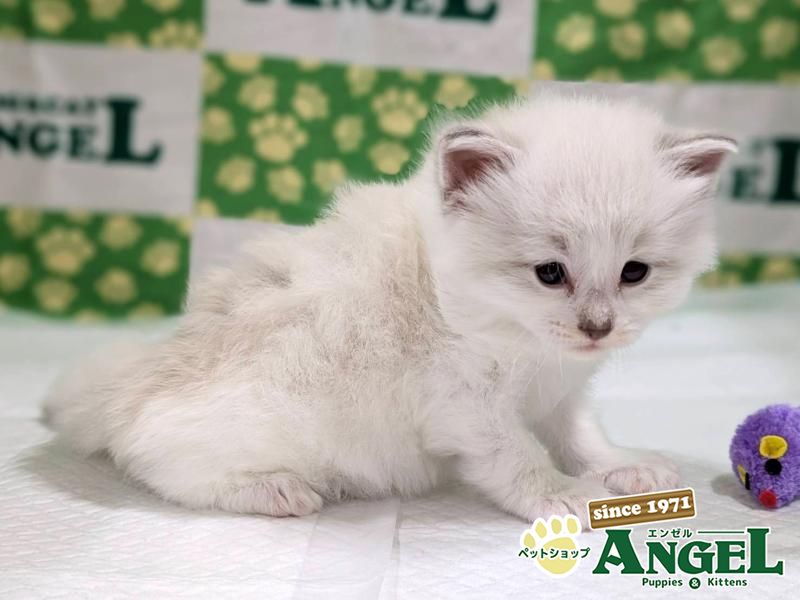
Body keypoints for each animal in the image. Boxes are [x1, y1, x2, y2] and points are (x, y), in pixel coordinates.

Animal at [43, 94, 736, 525]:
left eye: (634, 273)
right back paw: (275, 489)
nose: (598, 328)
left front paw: (624, 468)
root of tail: (122, 387)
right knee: (157, 467)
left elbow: (583, 437)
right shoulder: (467, 410)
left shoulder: (561, 393)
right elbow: (520, 458)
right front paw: (565, 497)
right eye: (549, 273)